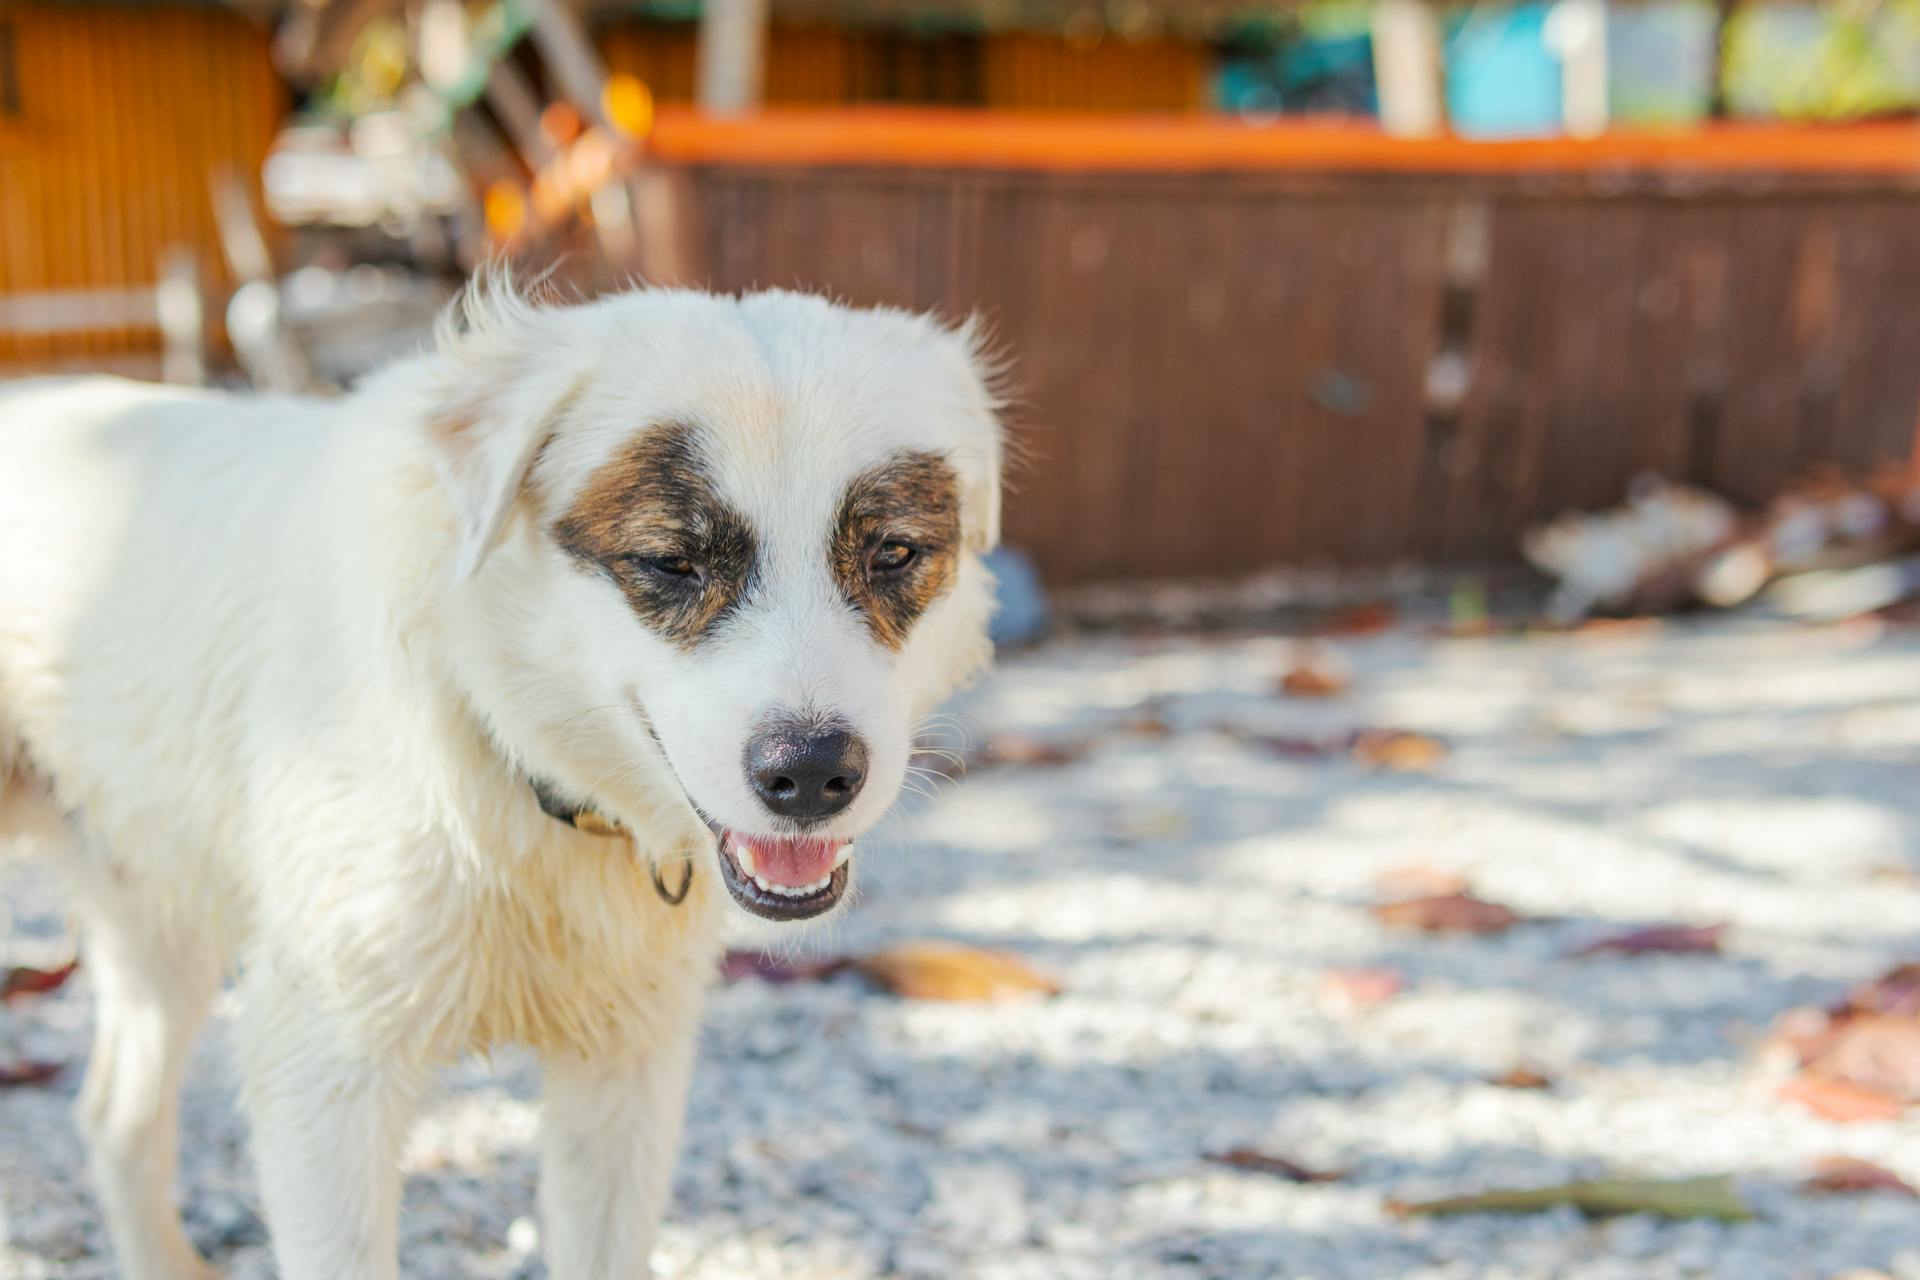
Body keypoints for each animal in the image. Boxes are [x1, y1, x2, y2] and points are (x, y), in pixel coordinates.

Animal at [0, 280, 1013, 1280]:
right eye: (670, 561)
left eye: (893, 553)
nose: (809, 772)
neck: (505, 744)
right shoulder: (326, 1076)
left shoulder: (626, 1069)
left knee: (115, 1120)